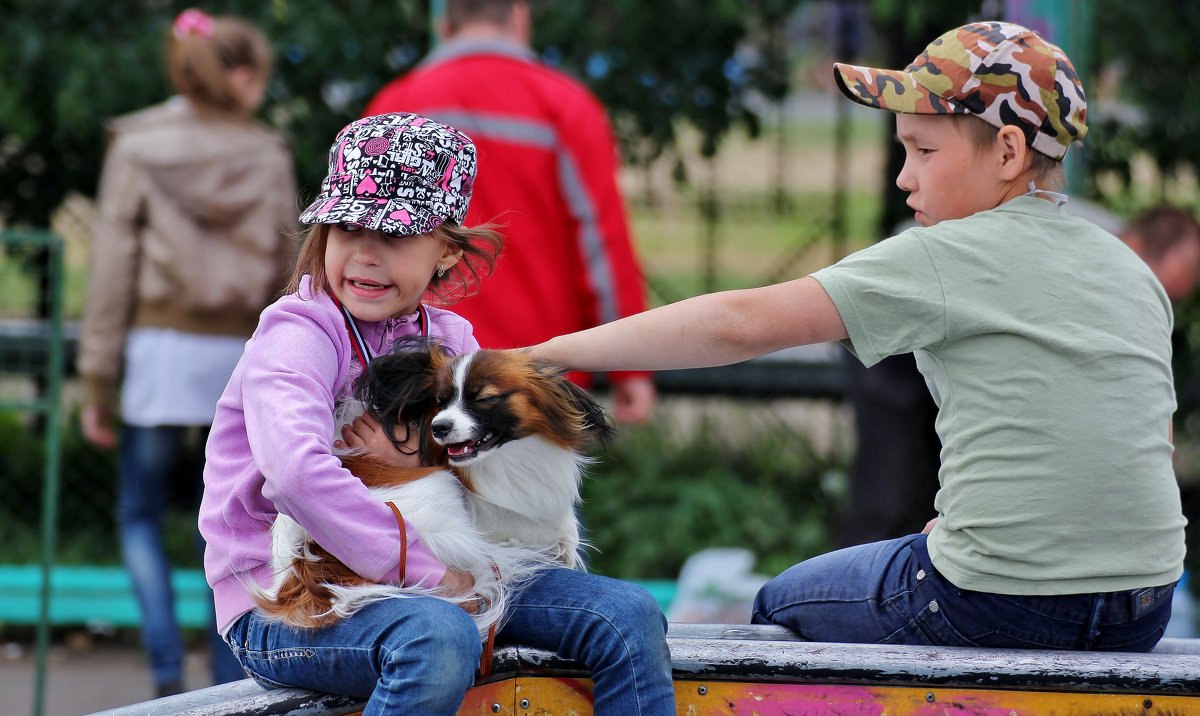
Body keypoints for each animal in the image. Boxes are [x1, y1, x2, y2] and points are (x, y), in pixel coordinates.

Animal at [253, 345, 609, 638]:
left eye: (484, 399)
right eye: (440, 402)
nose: (440, 427)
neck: (509, 454)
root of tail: (303, 566)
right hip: (437, 493)